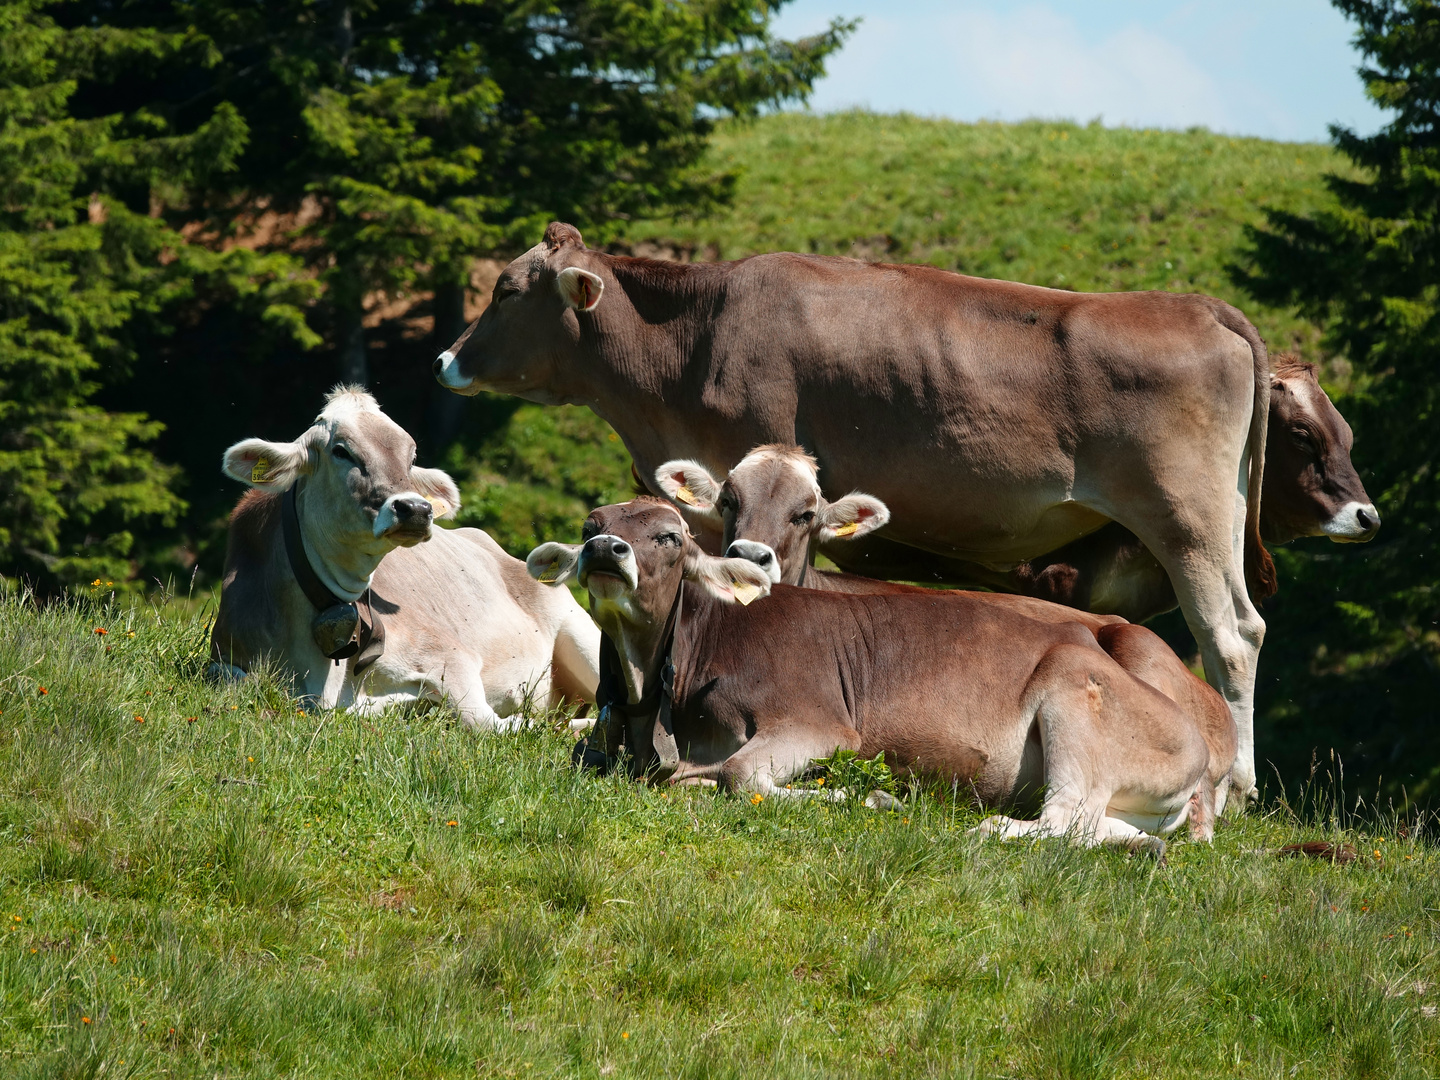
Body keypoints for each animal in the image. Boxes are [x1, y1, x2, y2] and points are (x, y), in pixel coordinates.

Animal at [210, 385, 599, 731]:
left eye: (411, 458)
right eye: (341, 451)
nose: (415, 508)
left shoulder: (451, 655)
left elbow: (485, 721)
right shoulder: (224, 659)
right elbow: (233, 679)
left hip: (582, 634)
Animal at [532, 501, 1238, 864]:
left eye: (669, 536)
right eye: (593, 525)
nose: (605, 549)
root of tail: (1200, 738)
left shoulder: (815, 721)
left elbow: (740, 776)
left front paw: (864, 797)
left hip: (1072, 688)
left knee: (1064, 815)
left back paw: (983, 829)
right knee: (1106, 830)